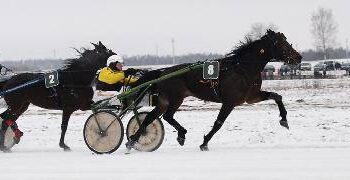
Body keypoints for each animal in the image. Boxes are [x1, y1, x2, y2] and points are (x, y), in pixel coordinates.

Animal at [127, 29, 302, 150]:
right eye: (282, 43)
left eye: (286, 41)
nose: (298, 57)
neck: (242, 69)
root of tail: (163, 72)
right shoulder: (230, 102)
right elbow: (218, 123)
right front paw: (204, 143)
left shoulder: (250, 97)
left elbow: (277, 96)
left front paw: (284, 119)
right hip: (176, 98)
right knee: (168, 116)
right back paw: (181, 134)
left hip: (164, 100)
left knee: (150, 117)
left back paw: (133, 140)